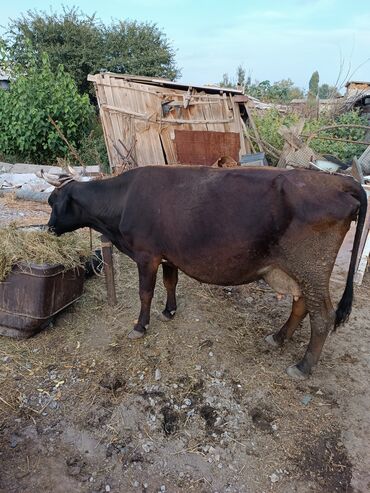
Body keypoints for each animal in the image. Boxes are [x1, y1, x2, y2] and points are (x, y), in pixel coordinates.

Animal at [39, 165, 368, 376]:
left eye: (53, 201)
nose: (48, 229)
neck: (123, 199)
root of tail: (339, 182)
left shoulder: (146, 254)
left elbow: (145, 293)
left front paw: (140, 326)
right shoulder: (168, 255)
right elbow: (170, 283)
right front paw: (169, 311)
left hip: (312, 267)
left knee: (322, 315)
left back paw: (304, 366)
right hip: (295, 270)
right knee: (301, 305)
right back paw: (278, 337)